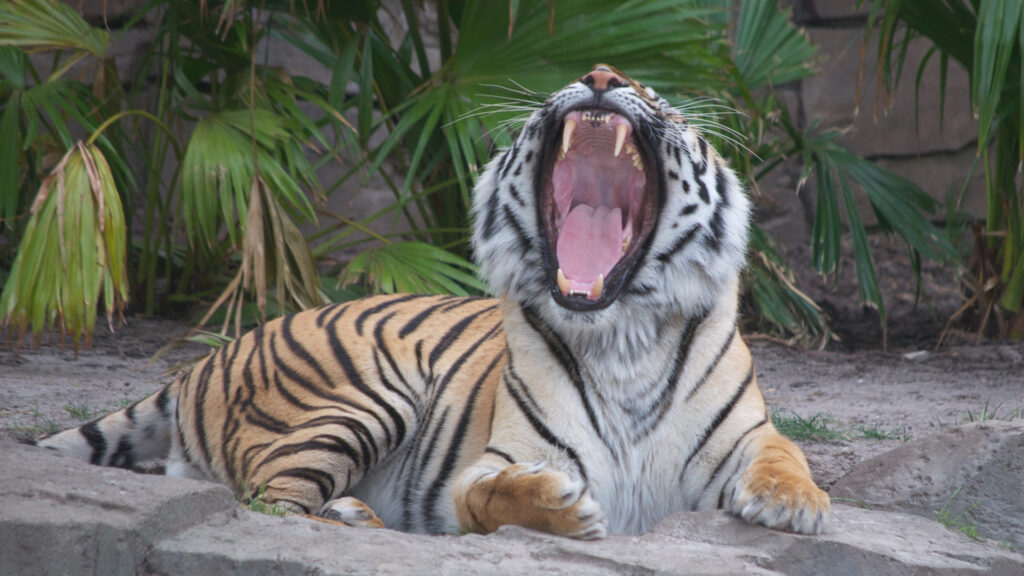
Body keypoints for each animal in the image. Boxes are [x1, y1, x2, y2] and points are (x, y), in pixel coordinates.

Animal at [37, 65, 829, 538]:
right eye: (594, 75)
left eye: (662, 100)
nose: (603, 75)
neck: (620, 333)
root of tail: (204, 360)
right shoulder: (495, 460)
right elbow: (490, 495)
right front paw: (558, 507)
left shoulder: (749, 434)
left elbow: (787, 454)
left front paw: (794, 503)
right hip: (359, 400)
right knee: (269, 502)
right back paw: (356, 519)